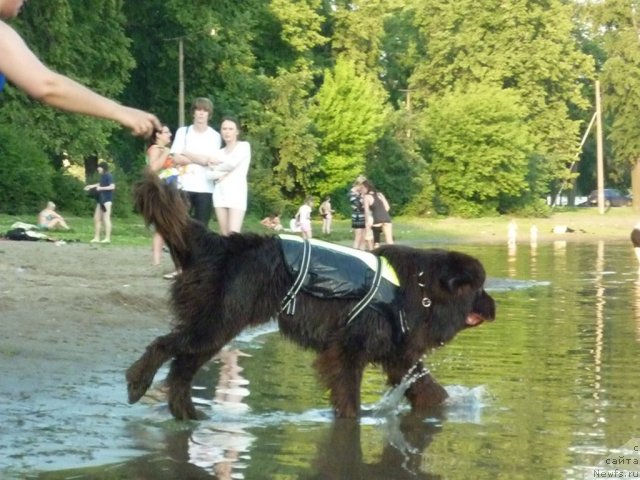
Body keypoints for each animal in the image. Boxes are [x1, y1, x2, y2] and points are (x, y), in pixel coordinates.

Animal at [125, 172, 496, 420]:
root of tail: (219, 243)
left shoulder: (398, 355)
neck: (417, 291)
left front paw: (449, 407)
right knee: (164, 346)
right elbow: (349, 396)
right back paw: (137, 382)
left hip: (218, 328)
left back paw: (187, 413)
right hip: (216, 322)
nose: (494, 306)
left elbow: (428, 388)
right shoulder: (348, 350)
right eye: (479, 289)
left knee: (181, 369)